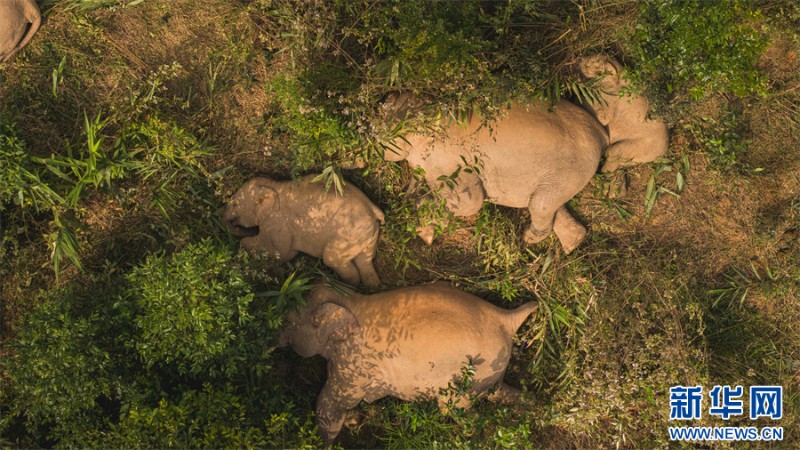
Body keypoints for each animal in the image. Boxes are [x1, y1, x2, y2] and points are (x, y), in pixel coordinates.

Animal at [223, 174, 386, 286]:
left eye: (235, 204)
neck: (272, 185)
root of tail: (374, 210)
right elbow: (287, 253)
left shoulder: (278, 223)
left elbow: (278, 252)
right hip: (367, 236)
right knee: (365, 261)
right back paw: (372, 287)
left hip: (348, 236)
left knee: (332, 259)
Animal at [282, 284, 536, 442]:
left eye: (290, 322)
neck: (348, 299)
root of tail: (506, 318)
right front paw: (353, 421)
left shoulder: (352, 361)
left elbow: (330, 403)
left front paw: (322, 441)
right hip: (491, 371)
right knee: (502, 393)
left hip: (471, 376)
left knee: (458, 411)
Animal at [382, 94, 608, 253]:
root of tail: (601, 131)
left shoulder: (449, 159)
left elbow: (471, 202)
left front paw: (422, 220)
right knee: (547, 203)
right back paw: (574, 242)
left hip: (573, 166)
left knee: (540, 204)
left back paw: (529, 238)